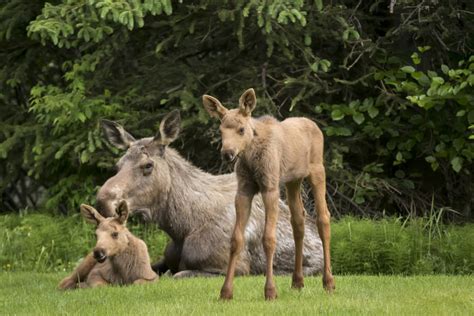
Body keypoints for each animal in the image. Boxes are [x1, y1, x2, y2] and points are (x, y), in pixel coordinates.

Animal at [202, 88, 336, 298]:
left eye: (241, 129)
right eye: (221, 130)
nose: (228, 153)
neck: (250, 157)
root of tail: (314, 125)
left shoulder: (270, 188)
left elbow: (269, 239)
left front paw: (270, 291)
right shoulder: (244, 190)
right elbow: (236, 239)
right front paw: (226, 292)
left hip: (317, 171)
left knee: (323, 218)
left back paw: (329, 282)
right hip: (293, 181)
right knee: (298, 220)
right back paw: (297, 281)